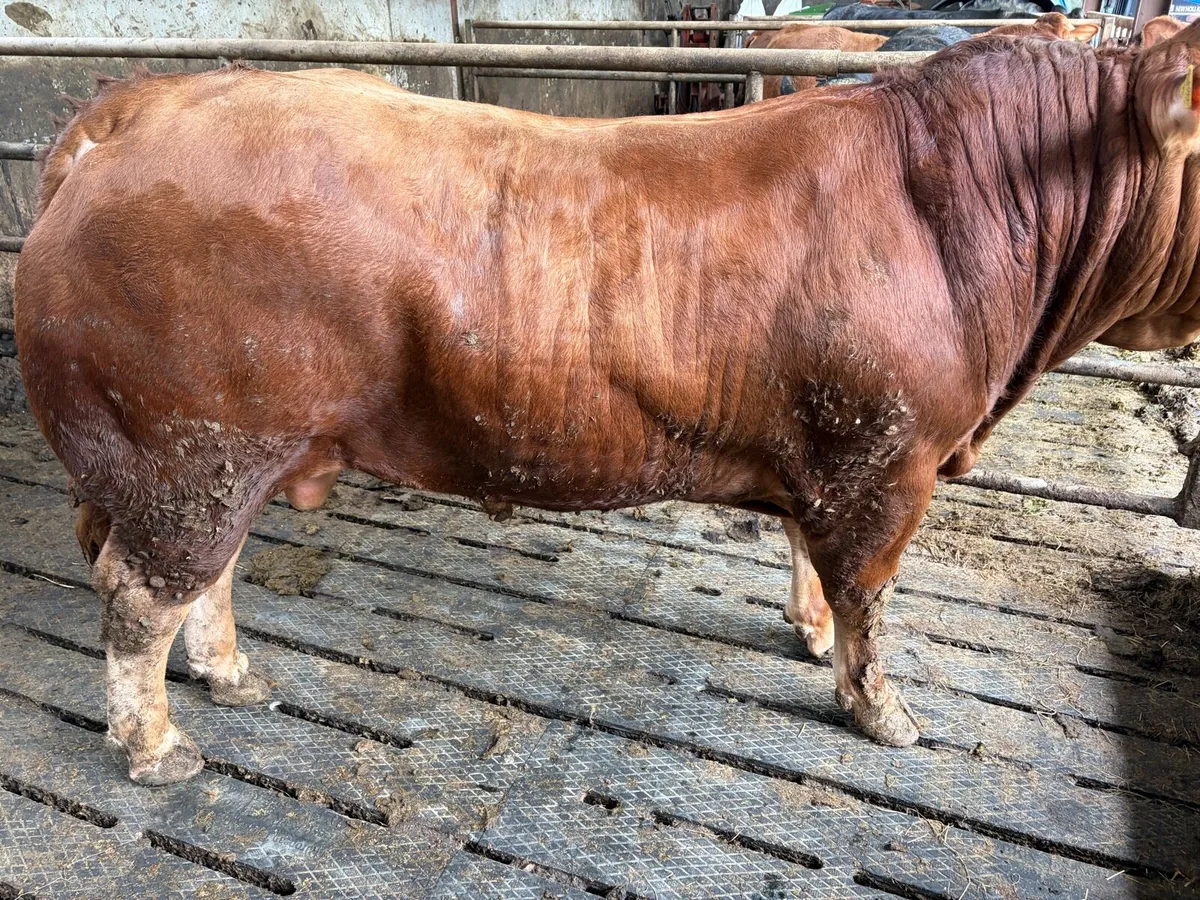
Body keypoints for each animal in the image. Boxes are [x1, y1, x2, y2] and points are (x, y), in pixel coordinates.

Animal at [17, 25, 1200, 785]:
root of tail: (138, 109)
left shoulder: (829, 445)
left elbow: (808, 559)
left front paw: (806, 630)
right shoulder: (888, 458)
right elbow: (869, 597)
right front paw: (885, 715)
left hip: (216, 456)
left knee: (202, 582)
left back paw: (234, 677)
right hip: (188, 448)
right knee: (140, 595)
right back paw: (159, 748)